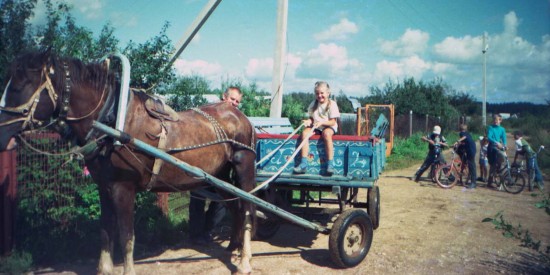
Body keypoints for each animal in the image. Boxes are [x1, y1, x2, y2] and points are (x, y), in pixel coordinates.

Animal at [0, 50, 258, 274]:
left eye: (19, 86)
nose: (3, 136)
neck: (114, 122)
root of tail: (239, 115)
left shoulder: (123, 188)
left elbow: (126, 236)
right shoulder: (104, 187)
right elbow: (106, 231)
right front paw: (104, 270)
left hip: (243, 169)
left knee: (247, 208)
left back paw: (245, 261)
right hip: (220, 178)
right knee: (234, 207)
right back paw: (233, 249)